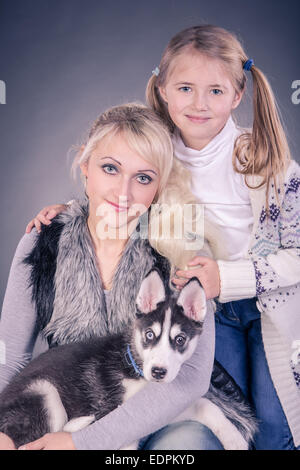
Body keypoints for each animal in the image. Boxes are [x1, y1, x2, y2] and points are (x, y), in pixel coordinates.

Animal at [0, 268, 258, 448]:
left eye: (180, 339)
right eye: (150, 335)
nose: (158, 372)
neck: (137, 372)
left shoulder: (158, 412)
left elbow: (206, 405)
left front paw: (235, 440)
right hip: (44, 393)